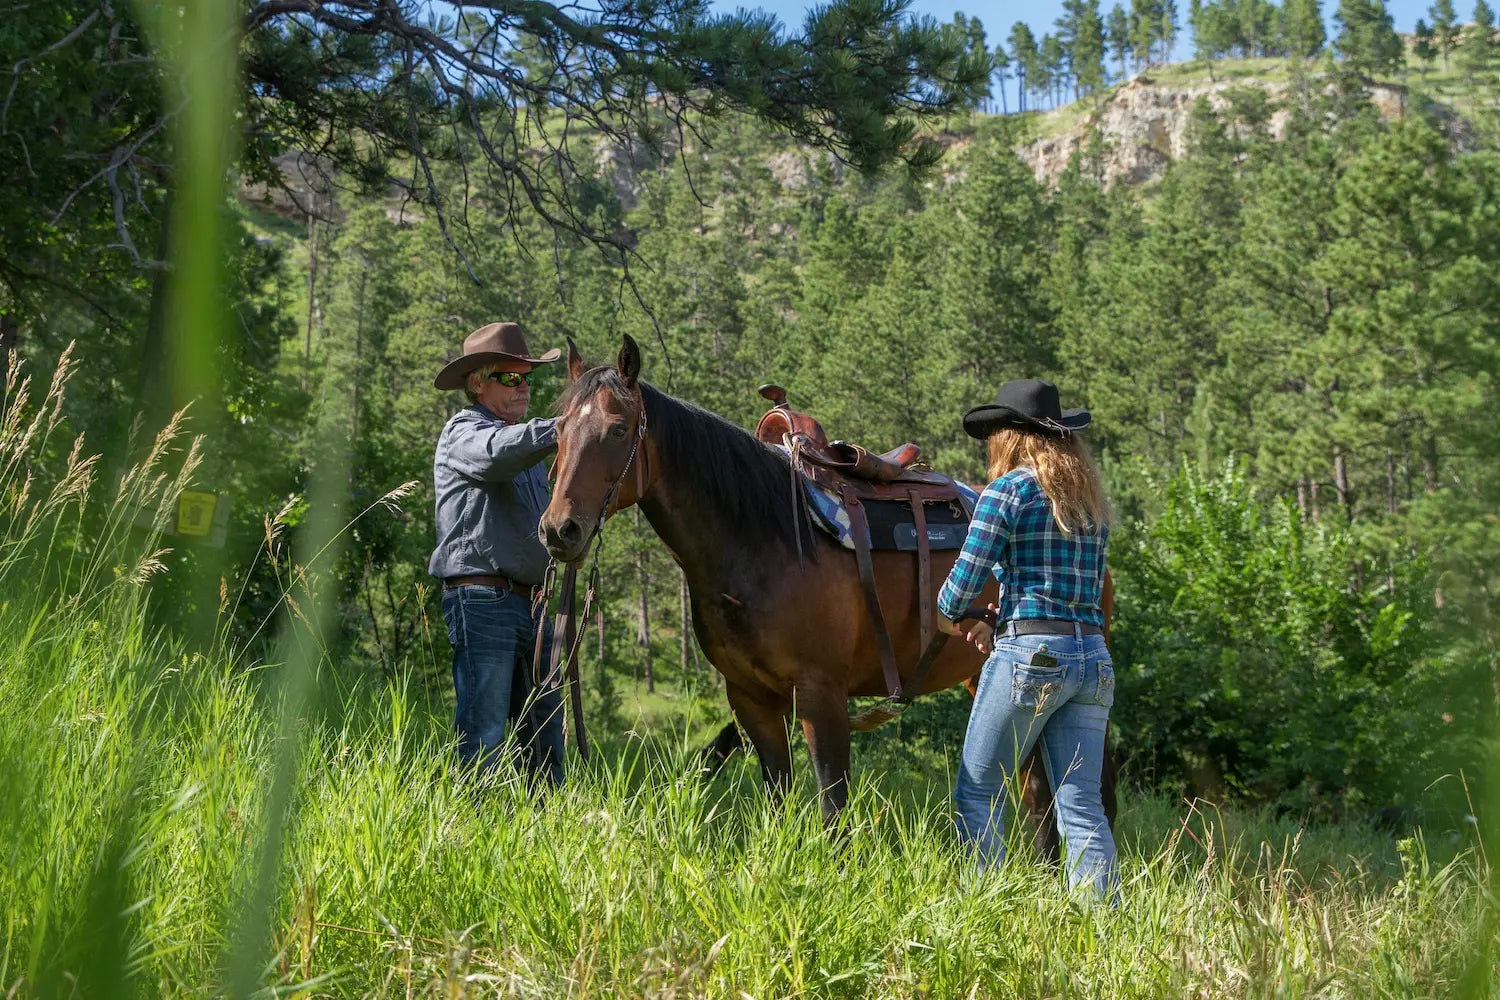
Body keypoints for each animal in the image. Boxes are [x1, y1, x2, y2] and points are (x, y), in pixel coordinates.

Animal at [541, 335, 1116, 846]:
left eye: (618, 430)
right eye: (557, 431)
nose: (558, 530)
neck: (757, 540)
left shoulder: (821, 695)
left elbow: (832, 806)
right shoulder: (750, 698)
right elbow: (778, 795)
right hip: (991, 681)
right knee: (1037, 791)